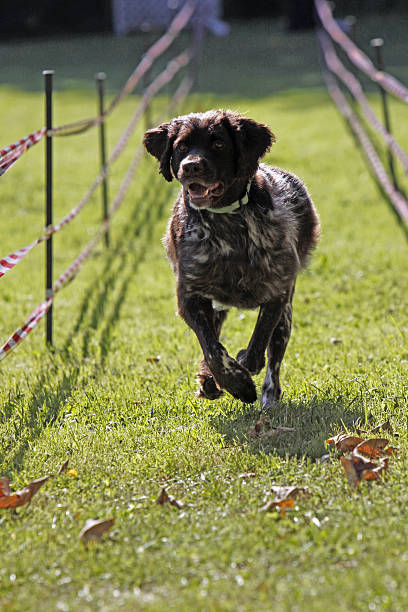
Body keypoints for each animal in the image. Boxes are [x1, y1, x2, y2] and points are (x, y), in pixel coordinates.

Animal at [143, 111, 318, 406]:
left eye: (218, 144)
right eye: (181, 146)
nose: (191, 167)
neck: (226, 224)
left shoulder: (277, 290)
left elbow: (258, 343)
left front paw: (244, 367)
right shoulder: (189, 296)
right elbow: (212, 349)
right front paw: (236, 383)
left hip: (286, 313)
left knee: (274, 356)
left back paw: (269, 395)